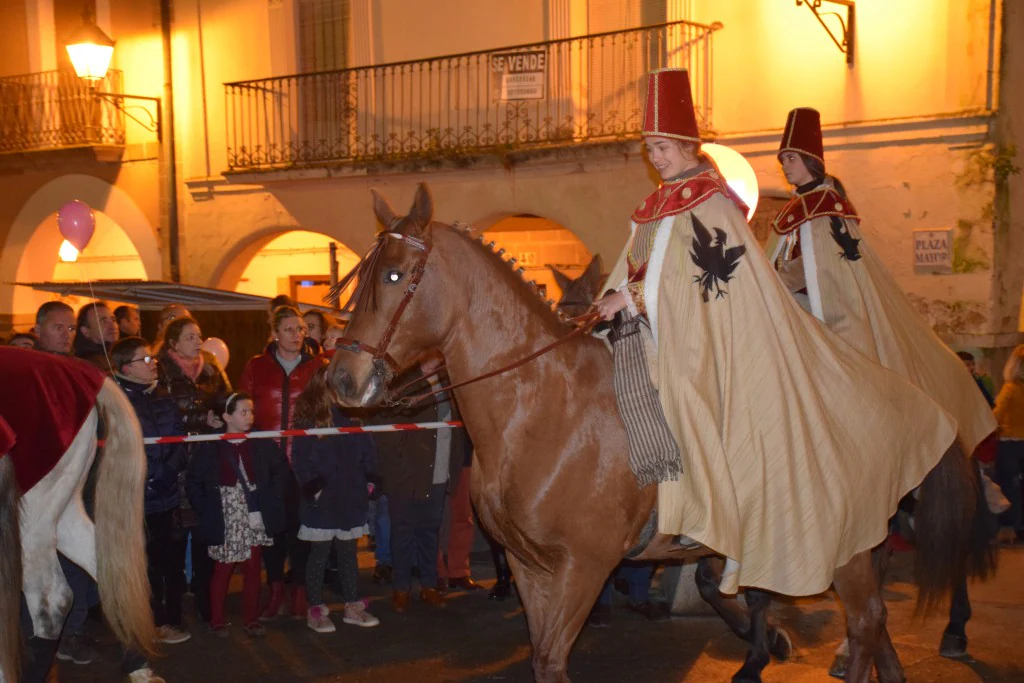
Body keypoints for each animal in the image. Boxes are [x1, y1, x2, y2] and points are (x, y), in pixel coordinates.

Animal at [327, 181, 983, 683]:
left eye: (395, 275)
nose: (341, 379)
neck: (540, 408)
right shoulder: (530, 567)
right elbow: (544, 658)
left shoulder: (582, 568)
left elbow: (554, 659)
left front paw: (766, 643)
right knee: (874, 626)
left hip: (846, 544)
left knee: (866, 620)